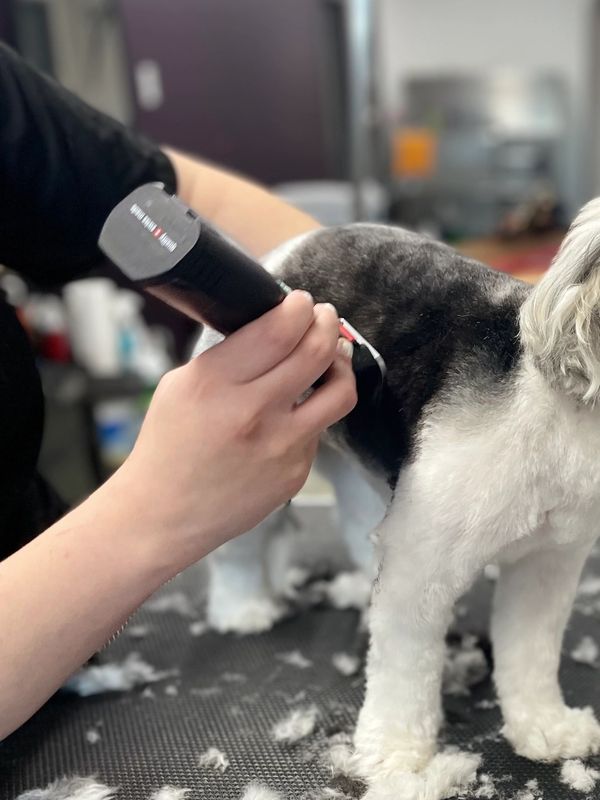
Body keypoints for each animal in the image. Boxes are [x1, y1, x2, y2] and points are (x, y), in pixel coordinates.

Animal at [195, 200, 600, 792]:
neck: (561, 410)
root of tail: (288, 251)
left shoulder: (548, 561)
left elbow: (530, 651)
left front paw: (545, 727)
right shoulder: (423, 565)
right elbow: (405, 670)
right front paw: (395, 758)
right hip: (253, 465)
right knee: (240, 552)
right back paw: (243, 609)